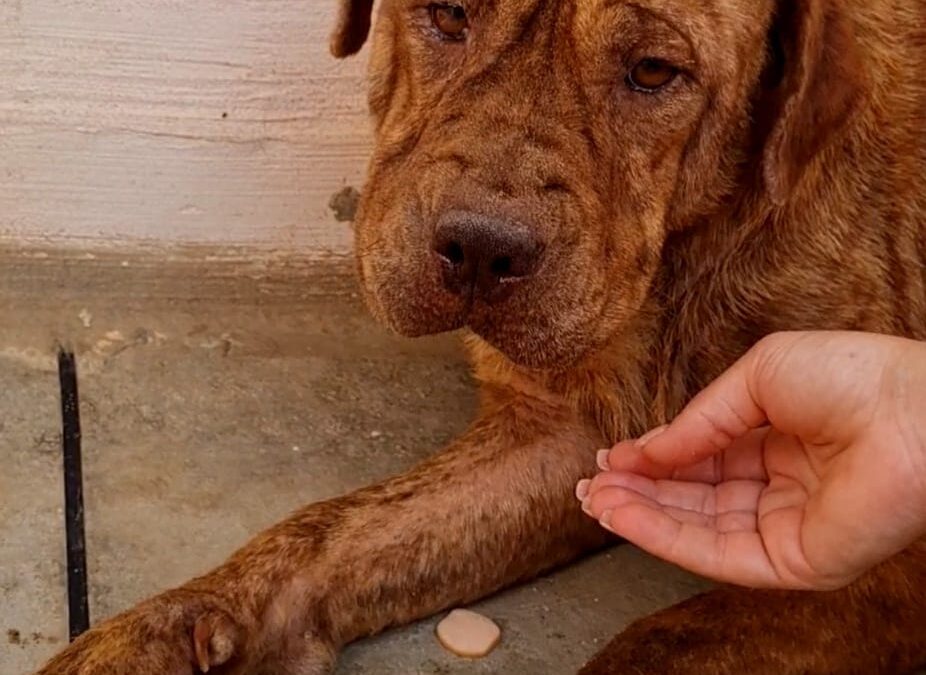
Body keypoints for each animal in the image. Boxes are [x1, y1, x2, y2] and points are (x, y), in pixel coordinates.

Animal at [36, 0, 926, 672]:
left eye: (652, 72)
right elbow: (326, 533)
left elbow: (666, 639)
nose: (479, 247)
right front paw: (155, 631)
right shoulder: (558, 429)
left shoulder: (883, 561)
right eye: (448, 13)